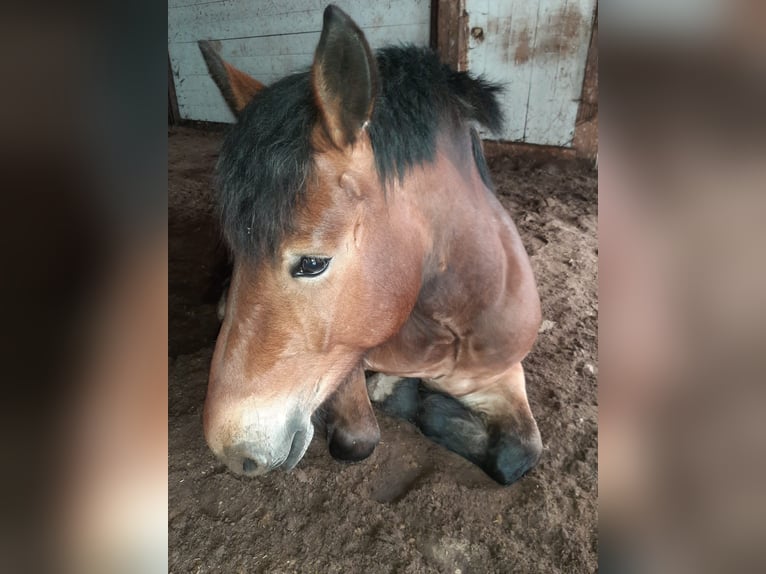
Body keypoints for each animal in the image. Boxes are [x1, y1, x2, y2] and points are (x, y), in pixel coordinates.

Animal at [201, 5, 544, 486]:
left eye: (312, 263)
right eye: (237, 252)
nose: (231, 450)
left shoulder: (500, 372)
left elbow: (520, 453)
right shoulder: (346, 360)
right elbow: (359, 438)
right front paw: (397, 394)